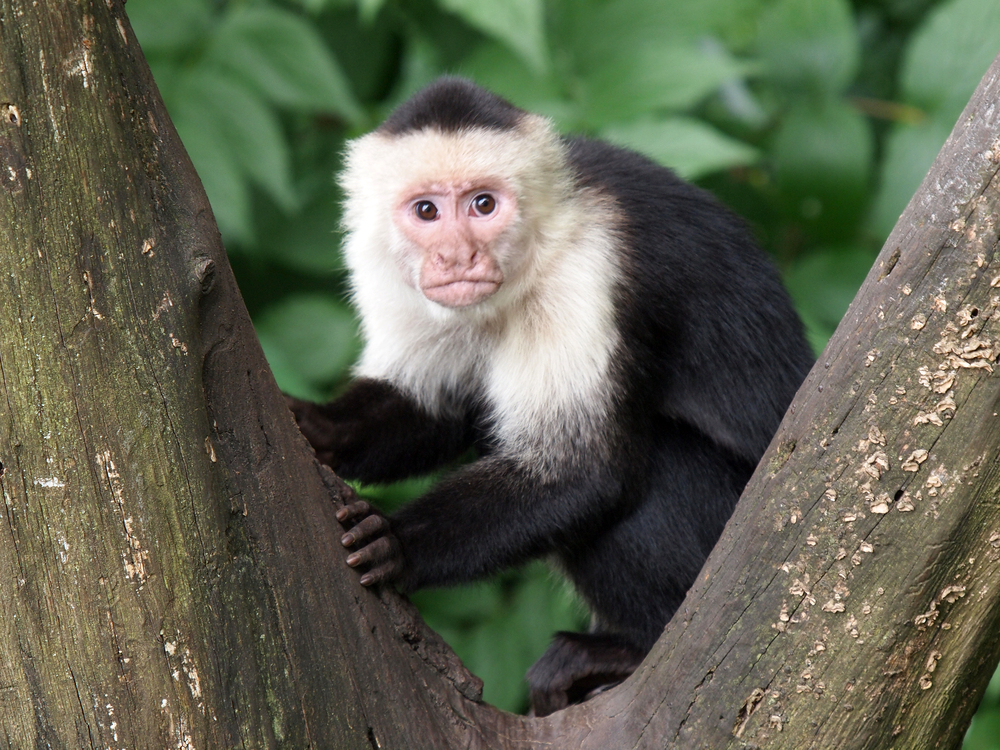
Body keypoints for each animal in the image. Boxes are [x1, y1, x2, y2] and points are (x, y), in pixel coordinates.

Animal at [288, 76, 812, 716]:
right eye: (426, 210)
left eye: (483, 205)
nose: (458, 256)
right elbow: (437, 409)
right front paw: (319, 427)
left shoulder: (585, 270)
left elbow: (579, 472)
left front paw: (398, 544)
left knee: (653, 466)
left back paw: (633, 649)